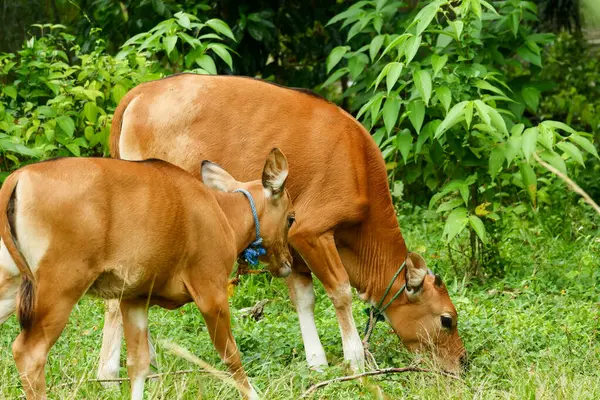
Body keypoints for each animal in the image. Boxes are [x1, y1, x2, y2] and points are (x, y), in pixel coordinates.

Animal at [0, 151, 294, 400]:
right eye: (291, 218)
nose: (288, 263)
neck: (221, 213)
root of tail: (20, 177)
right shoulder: (211, 292)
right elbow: (231, 355)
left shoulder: (134, 298)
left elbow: (138, 365)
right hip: (60, 288)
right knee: (29, 354)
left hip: (12, 284)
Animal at [97, 73, 464, 376]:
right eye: (447, 320)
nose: (462, 362)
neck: (357, 163)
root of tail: (141, 92)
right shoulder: (311, 230)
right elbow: (341, 291)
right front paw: (355, 358)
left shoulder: (292, 243)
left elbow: (303, 299)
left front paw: (316, 361)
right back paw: (111, 373)